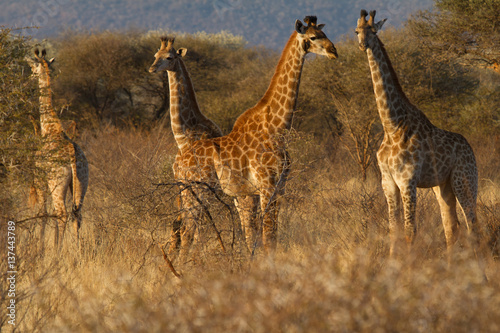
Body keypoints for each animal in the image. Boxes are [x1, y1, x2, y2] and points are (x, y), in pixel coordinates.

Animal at [25, 48, 89, 248]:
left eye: (32, 69)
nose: (29, 79)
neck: (49, 127)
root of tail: (72, 156)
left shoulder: (40, 179)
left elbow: (43, 213)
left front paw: (40, 248)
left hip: (56, 181)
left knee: (62, 214)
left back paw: (59, 251)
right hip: (82, 181)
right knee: (77, 213)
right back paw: (78, 250)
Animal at [173, 15, 340, 256]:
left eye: (324, 33)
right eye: (313, 37)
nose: (334, 50)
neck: (277, 127)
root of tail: (177, 161)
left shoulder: (279, 186)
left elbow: (270, 236)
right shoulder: (266, 184)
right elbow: (267, 237)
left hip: (188, 190)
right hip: (195, 189)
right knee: (187, 231)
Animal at [356, 9, 480, 254]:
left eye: (374, 31)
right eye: (357, 31)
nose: (363, 44)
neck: (392, 126)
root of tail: (470, 149)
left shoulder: (407, 180)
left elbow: (410, 232)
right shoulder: (388, 181)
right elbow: (394, 231)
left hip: (464, 180)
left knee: (472, 225)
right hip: (443, 187)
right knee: (452, 228)